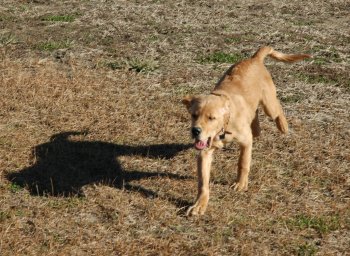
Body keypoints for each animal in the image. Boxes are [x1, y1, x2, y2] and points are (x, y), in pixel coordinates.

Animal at [182, 46, 310, 216]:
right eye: (194, 115)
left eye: (211, 118)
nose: (195, 131)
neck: (225, 125)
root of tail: (255, 58)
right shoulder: (205, 151)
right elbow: (203, 182)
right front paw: (199, 205)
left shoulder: (245, 141)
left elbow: (243, 163)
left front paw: (240, 184)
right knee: (255, 121)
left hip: (269, 104)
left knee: (277, 109)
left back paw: (283, 125)